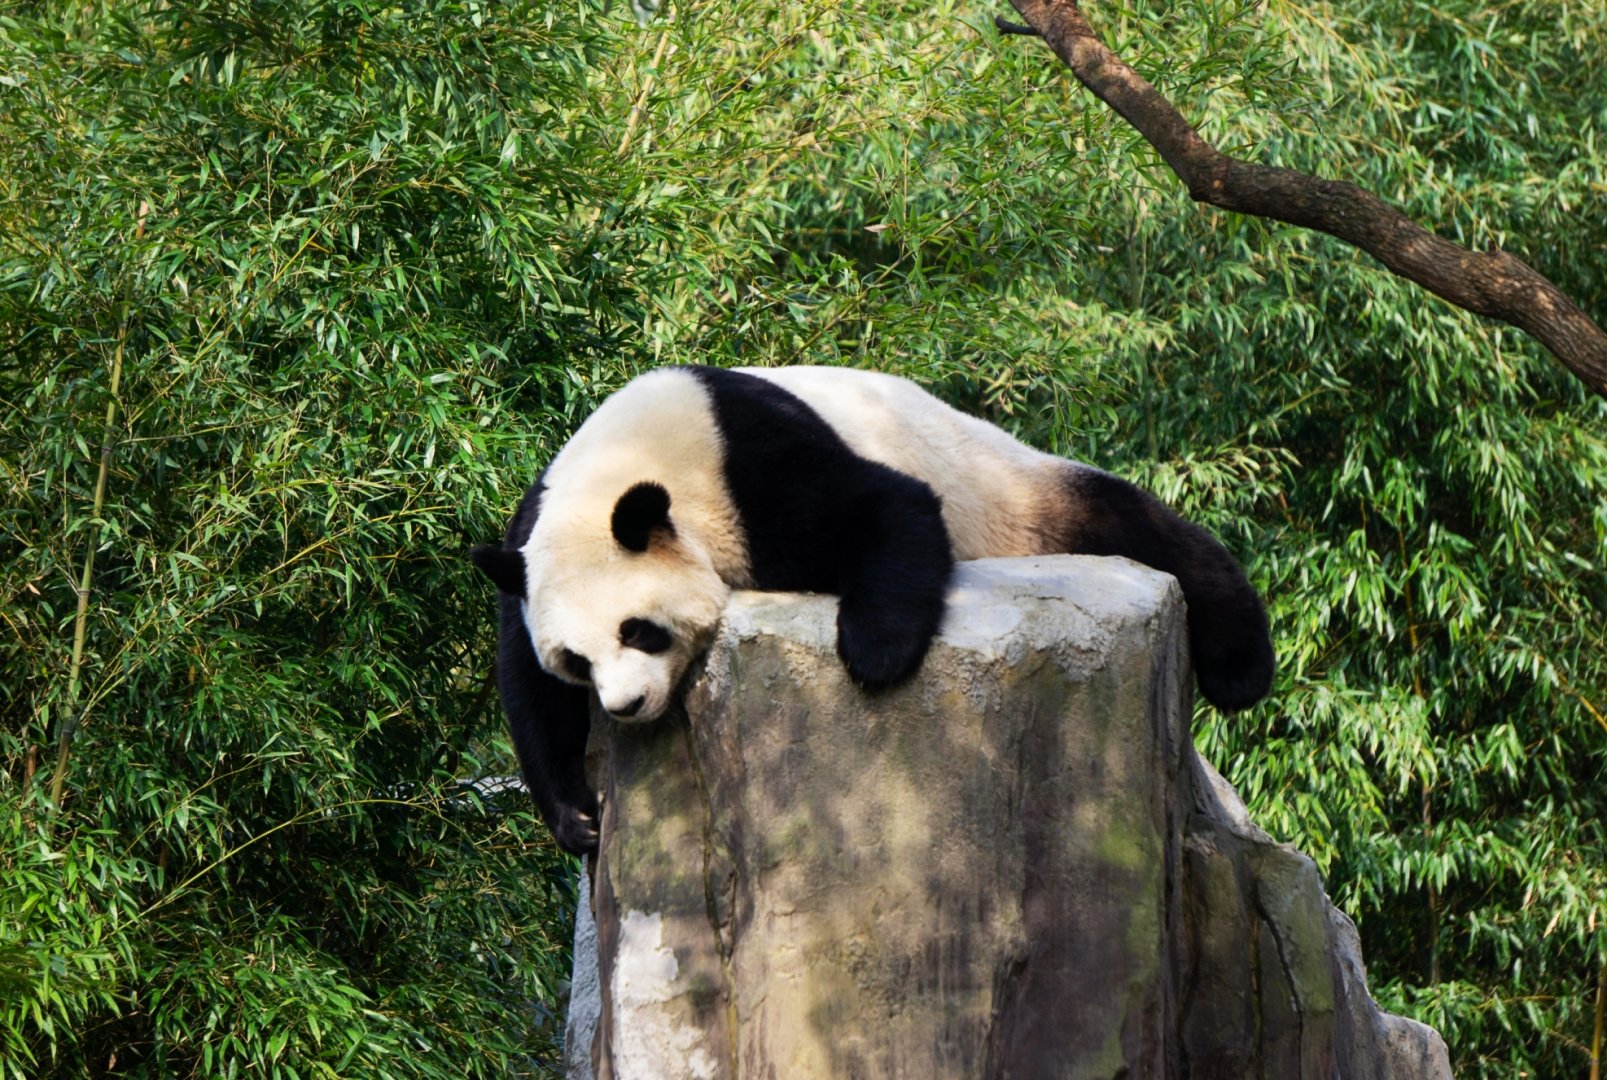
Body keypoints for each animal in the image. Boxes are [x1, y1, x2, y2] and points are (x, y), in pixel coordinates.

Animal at [471, 365, 1274, 855]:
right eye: (579, 660)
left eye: (639, 630)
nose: (626, 704)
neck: (627, 467)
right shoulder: (528, 550)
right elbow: (528, 686)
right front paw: (576, 817)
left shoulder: (745, 470)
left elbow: (886, 507)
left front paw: (875, 653)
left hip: (1008, 493)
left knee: (1135, 526)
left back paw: (1241, 669)